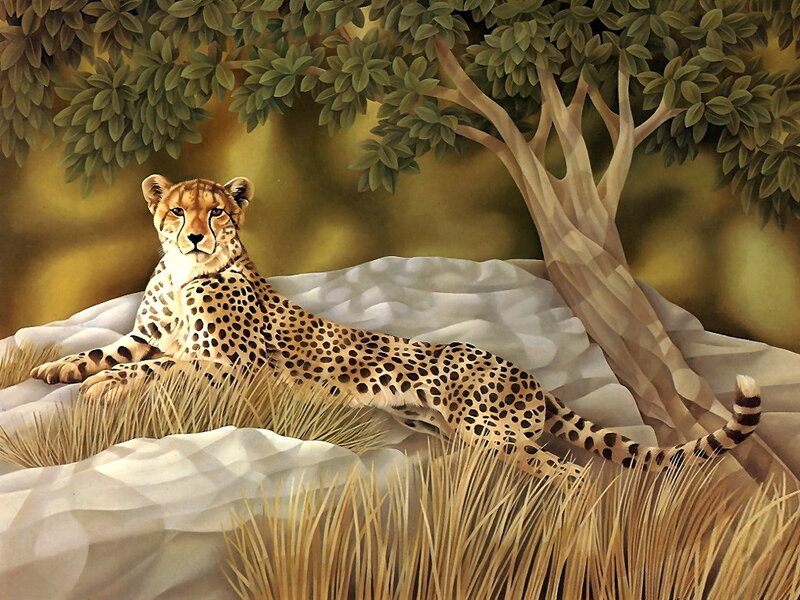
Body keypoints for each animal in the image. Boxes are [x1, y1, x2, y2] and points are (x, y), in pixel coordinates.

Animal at [31, 175, 762, 482]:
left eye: (217, 212)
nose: (194, 237)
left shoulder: (230, 365)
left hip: (489, 430)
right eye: (177, 211)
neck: (186, 277)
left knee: (566, 469)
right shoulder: (153, 334)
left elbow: (159, 367)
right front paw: (56, 370)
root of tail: (527, 375)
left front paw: (103, 389)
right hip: (450, 430)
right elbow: (110, 350)